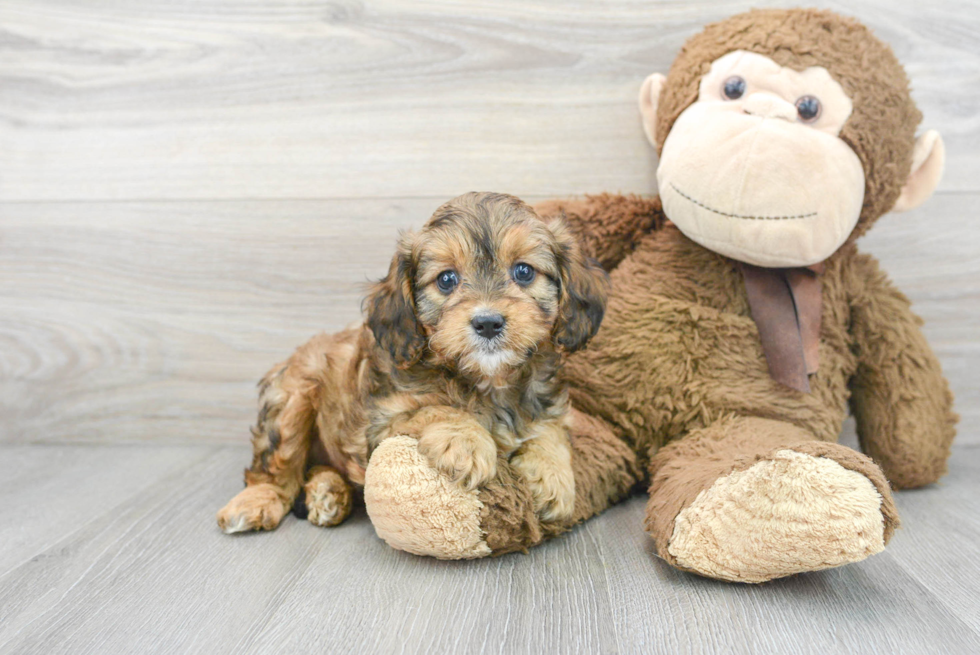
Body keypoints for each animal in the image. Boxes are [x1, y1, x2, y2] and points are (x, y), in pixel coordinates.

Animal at [218, 192, 608, 536]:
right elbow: (434, 409)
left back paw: (328, 493)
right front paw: (466, 441)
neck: (487, 380)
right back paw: (257, 502)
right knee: (275, 468)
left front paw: (553, 477)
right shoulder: (380, 424)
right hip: (292, 399)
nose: (488, 323)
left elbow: (550, 429)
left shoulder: (547, 403)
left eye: (524, 272)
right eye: (447, 279)